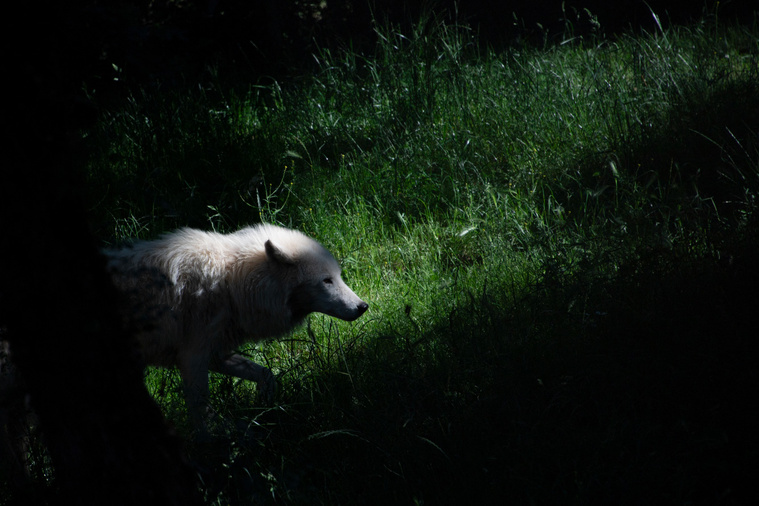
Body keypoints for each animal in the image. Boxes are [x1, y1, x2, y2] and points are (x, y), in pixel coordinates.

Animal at [106, 223, 368, 432]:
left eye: (338, 276)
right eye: (326, 281)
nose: (363, 306)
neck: (231, 283)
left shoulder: (216, 353)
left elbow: (265, 373)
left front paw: (266, 403)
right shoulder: (192, 357)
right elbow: (202, 410)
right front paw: (216, 441)